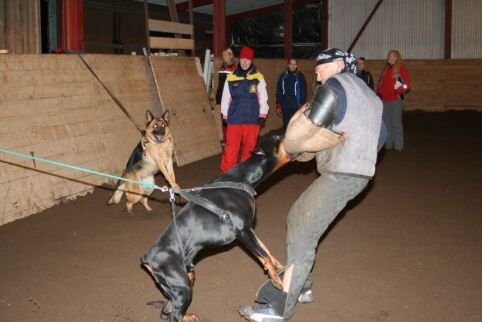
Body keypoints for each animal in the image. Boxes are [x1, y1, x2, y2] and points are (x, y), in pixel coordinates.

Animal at [140, 135, 298, 320]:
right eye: (280, 138)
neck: (241, 180)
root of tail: (148, 257)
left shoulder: (248, 229)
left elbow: (265, 250)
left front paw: (278, 266)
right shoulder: (243, 230)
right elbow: (263, 254)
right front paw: (275, 279)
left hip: (185, 278)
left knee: (168, 308)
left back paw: (189, 316)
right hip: (181, 286)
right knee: (172, 315)